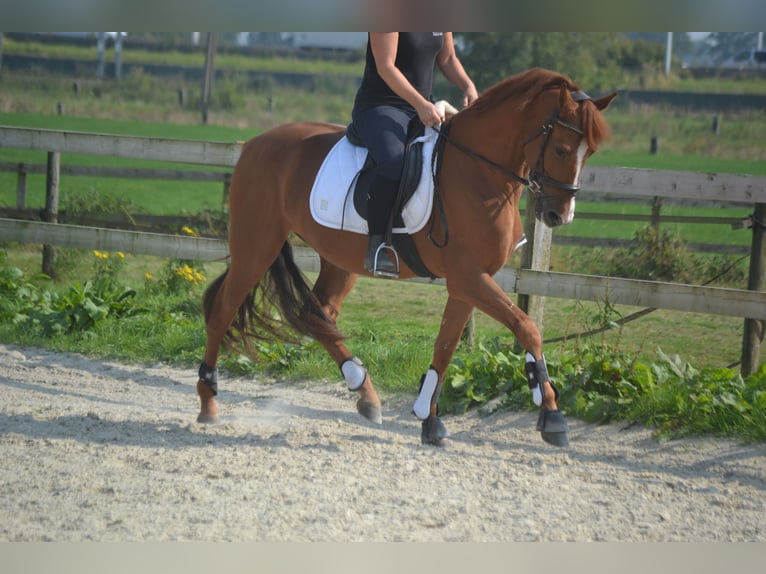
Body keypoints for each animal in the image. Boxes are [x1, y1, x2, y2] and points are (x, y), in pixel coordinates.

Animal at [196, 66, 616, 446]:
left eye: (590, 152)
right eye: (561, 149)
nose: (559, 216)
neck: (479, 173)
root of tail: (254, 144)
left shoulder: (468, 283)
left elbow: (445, 347)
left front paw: (429, 420)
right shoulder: (469, 278)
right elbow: (527, 328)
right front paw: (552, 415)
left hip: (339, 259)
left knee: (319, 314)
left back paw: (365, 392)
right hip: (256, 246)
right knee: (223, 311)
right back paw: (208, 403)